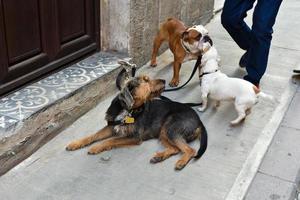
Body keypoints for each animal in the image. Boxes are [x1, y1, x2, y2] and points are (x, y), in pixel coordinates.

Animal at [66, 69, 207, 169]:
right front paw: (76, 143)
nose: (164, 81)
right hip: (163, 132)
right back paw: (159, 157)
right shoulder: (111, 126)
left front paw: (96, 147)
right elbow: (93, 135)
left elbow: (111, 140)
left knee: (190, 150)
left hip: (171, 128)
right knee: (176, 149)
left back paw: (181, 162)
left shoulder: (134, 136)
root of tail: (199, 121)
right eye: (145, 80)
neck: (128, 110)